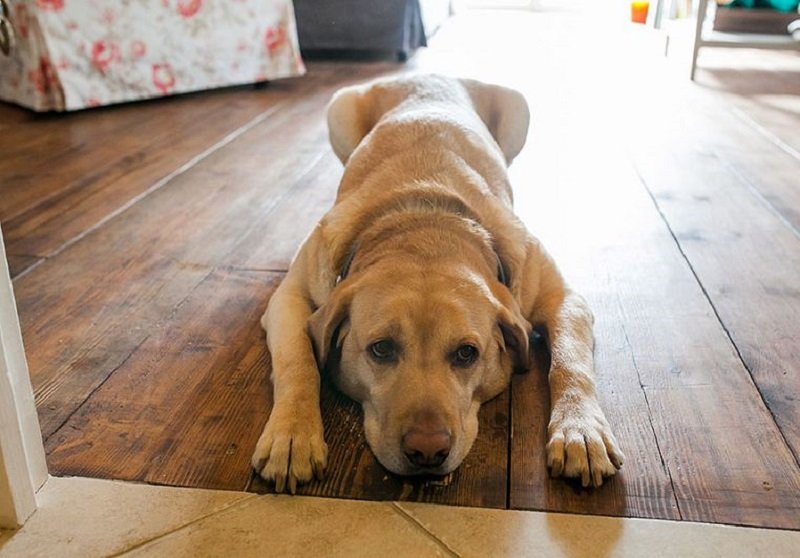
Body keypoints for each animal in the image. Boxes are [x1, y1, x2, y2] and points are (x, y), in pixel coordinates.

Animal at [252, 73, 624, 494]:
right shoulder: (288, 297)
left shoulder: (563, 299)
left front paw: (581, 430)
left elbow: (570, 362)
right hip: (339, 111)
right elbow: (297, 360)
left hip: (518, 111)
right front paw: (292, 435)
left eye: (466, 353)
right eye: (381, 349)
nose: (427, 450)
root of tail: (425, 75)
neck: (425, 217)